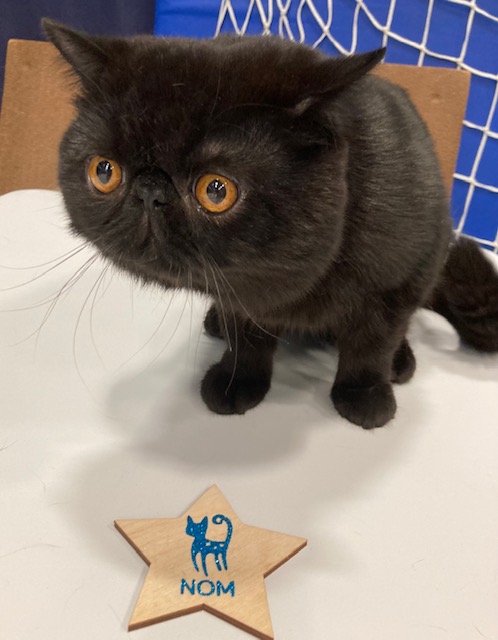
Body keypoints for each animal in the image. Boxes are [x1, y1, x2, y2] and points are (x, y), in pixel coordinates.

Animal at [43, 19, 498, 429]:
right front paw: (237, 381)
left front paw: (365, 397)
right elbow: (247, 336)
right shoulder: (241, 293)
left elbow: (373, 343)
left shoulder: (397, 281)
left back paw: (400, 362)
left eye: (216, 190)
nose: (149, 192)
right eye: (104, 171)